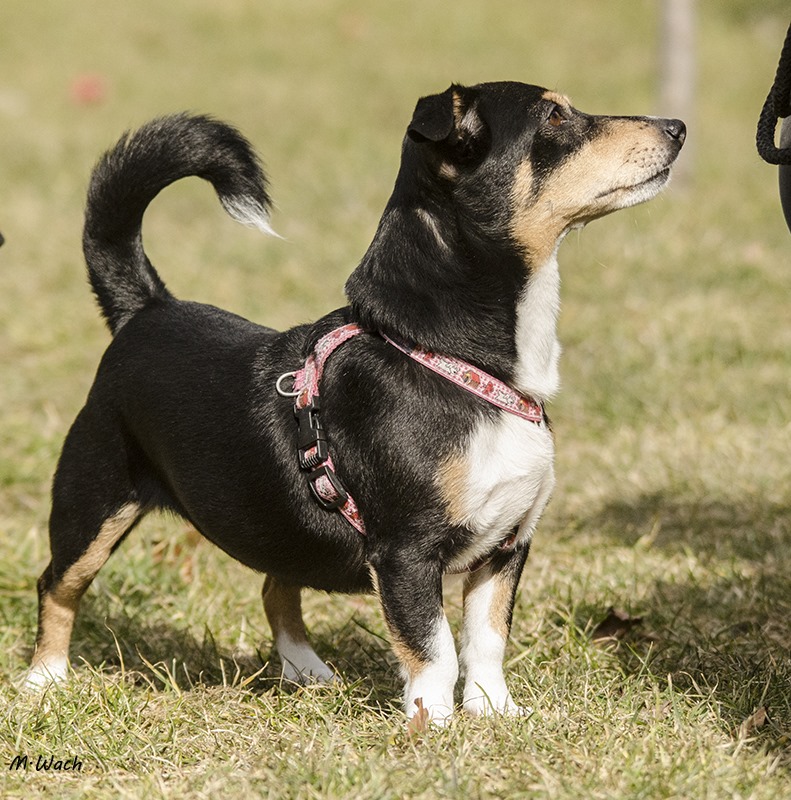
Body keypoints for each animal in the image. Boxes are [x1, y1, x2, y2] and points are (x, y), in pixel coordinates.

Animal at [27, 82, 684, 722]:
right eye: (553, 116)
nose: (677, 126)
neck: (453, 362)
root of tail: (145, 308)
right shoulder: (406, 554)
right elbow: (436, 650)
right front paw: (432, 727)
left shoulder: (506, 547)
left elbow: (487, 640)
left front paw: (494, 713)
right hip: (94, 503)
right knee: (57, 585)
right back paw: (45, 680)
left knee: (275, 588)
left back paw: (307, 672)